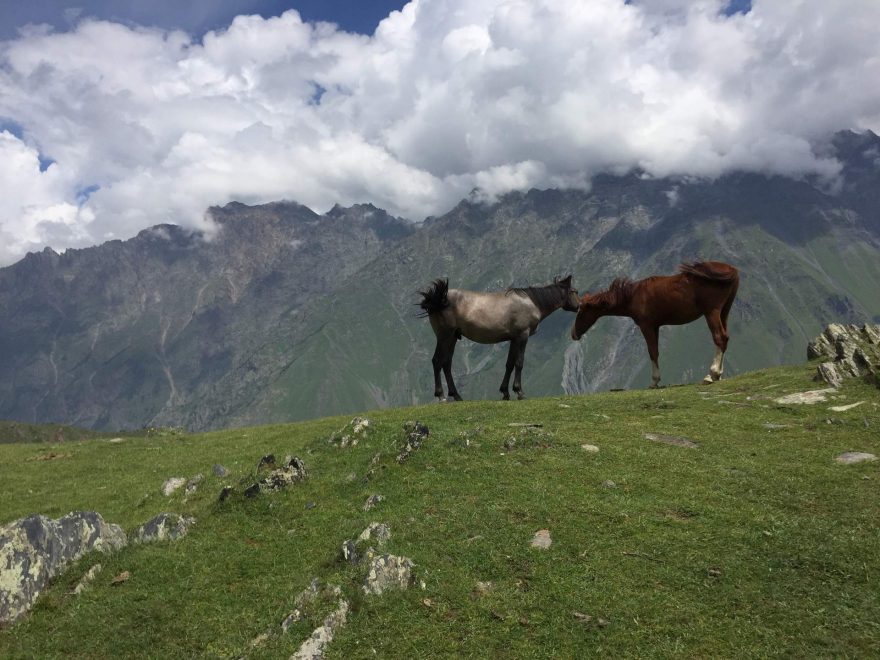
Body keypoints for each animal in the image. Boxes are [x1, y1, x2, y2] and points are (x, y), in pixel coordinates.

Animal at [418, 274, 576, 400]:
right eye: (575, 291)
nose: (578, 306)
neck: (531, 302)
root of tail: (440, 299)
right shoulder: (522, 336)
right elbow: (519, 362)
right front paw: (519, 392)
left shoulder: (514, 339)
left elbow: (509, 364)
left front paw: (505, 392)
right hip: (444, 336)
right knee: (437, 361)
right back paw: (441, 395)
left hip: (453, 338)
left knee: (446, 363)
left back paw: (456, 395)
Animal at [576, 262, 740, 386]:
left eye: (581, 312)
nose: (574, 334)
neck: (634, 295)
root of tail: (731, 269)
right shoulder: (655, 326)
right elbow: (656, 351)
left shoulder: (646, 326)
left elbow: (652, 351)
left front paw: (654, 381)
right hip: (724, 311)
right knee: (725, 338)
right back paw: (718, 375)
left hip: (711, 312)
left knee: (719, 337)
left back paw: (711, 374)